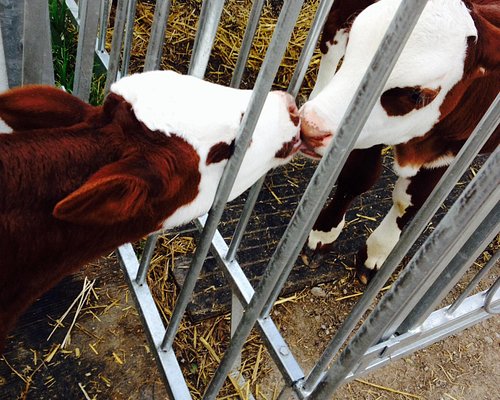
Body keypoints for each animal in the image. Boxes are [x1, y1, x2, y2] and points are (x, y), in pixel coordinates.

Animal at [298, 0, 498, 282]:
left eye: (416, 94)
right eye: (355, 43)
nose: (309, 127)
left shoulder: (452, 148)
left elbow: (410, 200)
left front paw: (376, 253)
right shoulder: (368, 131)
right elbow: (356, 177)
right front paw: (324, 234)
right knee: (331, 37)